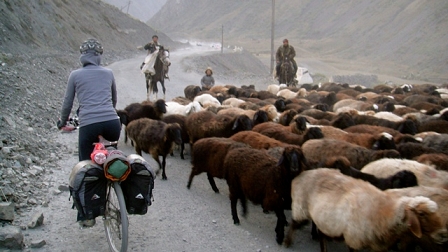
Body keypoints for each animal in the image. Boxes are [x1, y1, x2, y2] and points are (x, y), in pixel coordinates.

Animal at [284, 168, 448, 251]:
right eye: (421, 214)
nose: (443, 234)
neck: (383, 211)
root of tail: (303, 173)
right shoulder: (353, 240)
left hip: (324, 218)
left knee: (322, 234)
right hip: (300, 207)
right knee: (294, 223)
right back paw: (287, 241)